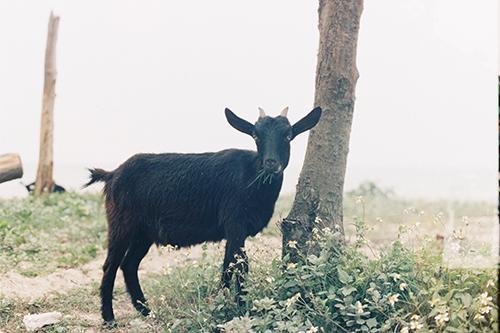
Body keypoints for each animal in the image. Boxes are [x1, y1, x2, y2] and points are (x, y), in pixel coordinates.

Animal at [84, 106, 322, 324]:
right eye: (256, 135)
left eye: (288, 135)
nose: (271, 163)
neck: (252, 176)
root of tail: (112, 174)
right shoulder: (235, 224)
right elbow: (237, 266)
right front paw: (235, 309)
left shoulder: (235, 231)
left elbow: (232, 265)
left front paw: (232, 305)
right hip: (121, 225)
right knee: (111, 265)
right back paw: (109, 318)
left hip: (144, 233)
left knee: (129, 264)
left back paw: (146, 311)